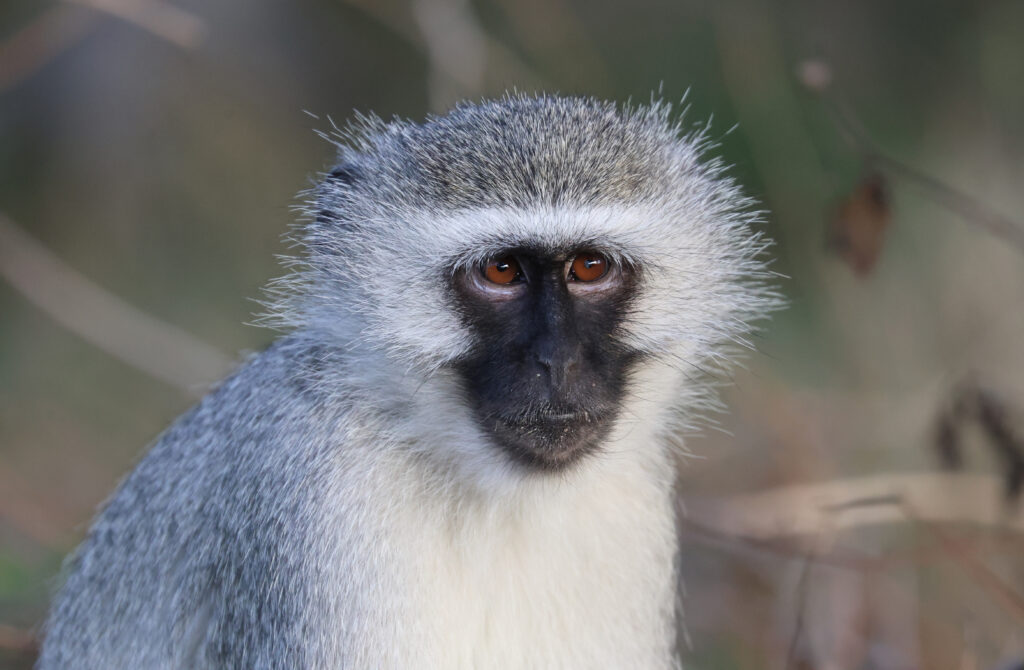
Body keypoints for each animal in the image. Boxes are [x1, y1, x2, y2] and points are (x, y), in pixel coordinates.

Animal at [36, 94, 776, 669]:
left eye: (590, 267)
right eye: (501, 271)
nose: (556, 363)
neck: (489, 489)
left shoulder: (629, 503)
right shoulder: (317, 499)